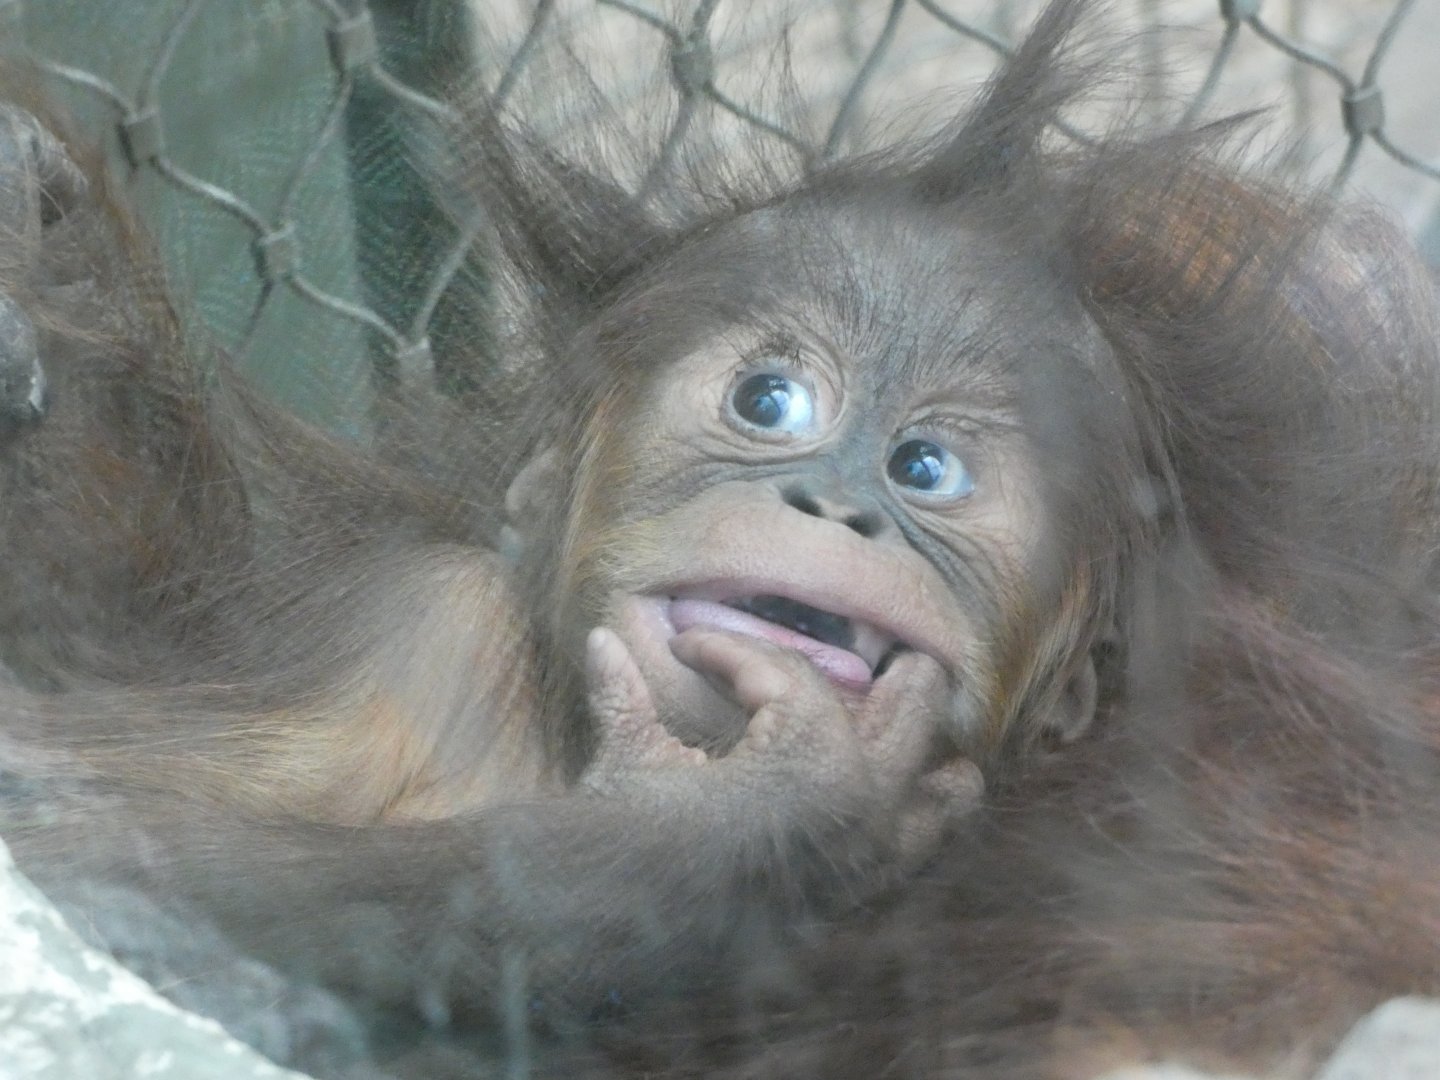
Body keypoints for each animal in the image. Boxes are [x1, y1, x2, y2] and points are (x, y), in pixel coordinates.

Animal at [4, 1, 1440, 1077]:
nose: (841, 505)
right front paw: (774, 813)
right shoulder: (414, 619)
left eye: (929, 468)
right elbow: (97, 826)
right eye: (769, 400)